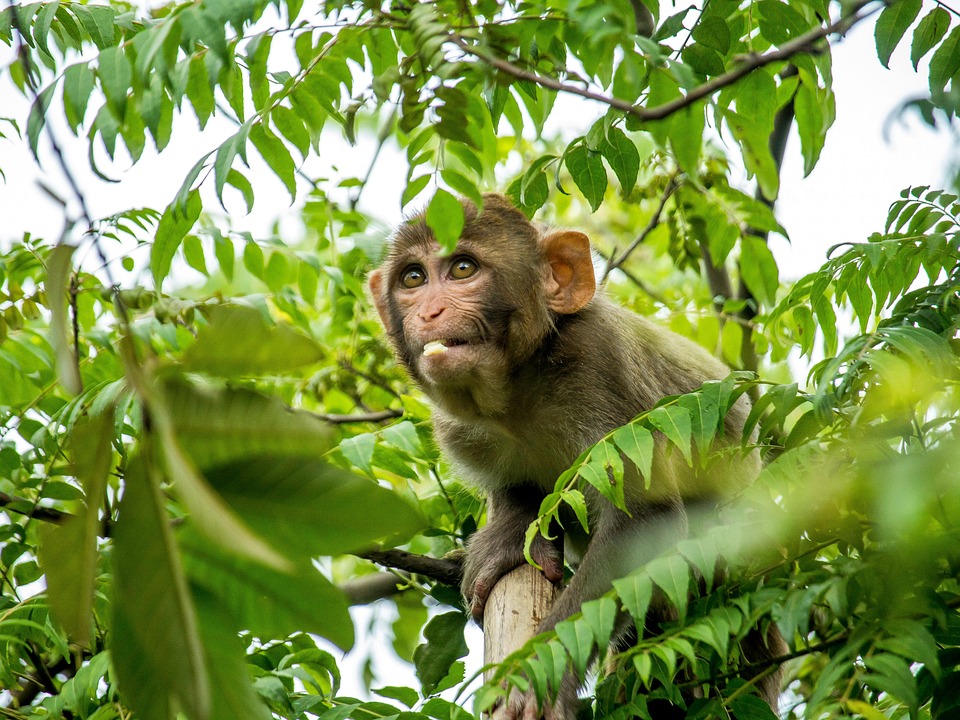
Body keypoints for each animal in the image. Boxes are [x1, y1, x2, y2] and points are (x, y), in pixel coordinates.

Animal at [367, 193, 783, 719]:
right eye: (413, 278)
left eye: (463, 268)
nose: (430, 312)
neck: (518, 389)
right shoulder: (457, 428)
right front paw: (509, 534)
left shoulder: (599, 364)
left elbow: (645, 521)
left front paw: (535, 671)